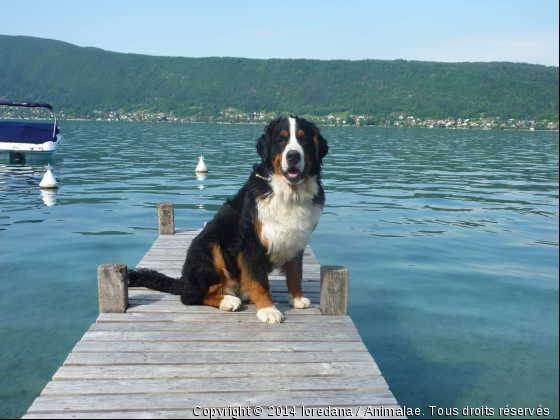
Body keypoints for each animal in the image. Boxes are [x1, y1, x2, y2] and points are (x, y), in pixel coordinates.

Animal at [128, 116, 328, 324]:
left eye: (304, 140)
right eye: (281, 140)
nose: (293, 156)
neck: (289, 193)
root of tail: (184, 280)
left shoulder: (296, 239)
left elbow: (295, 273)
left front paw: (296, 299)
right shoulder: (251, 243)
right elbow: (261, 280)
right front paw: (267, 309)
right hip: (210, 245)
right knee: (190, 296)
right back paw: (227, 300)